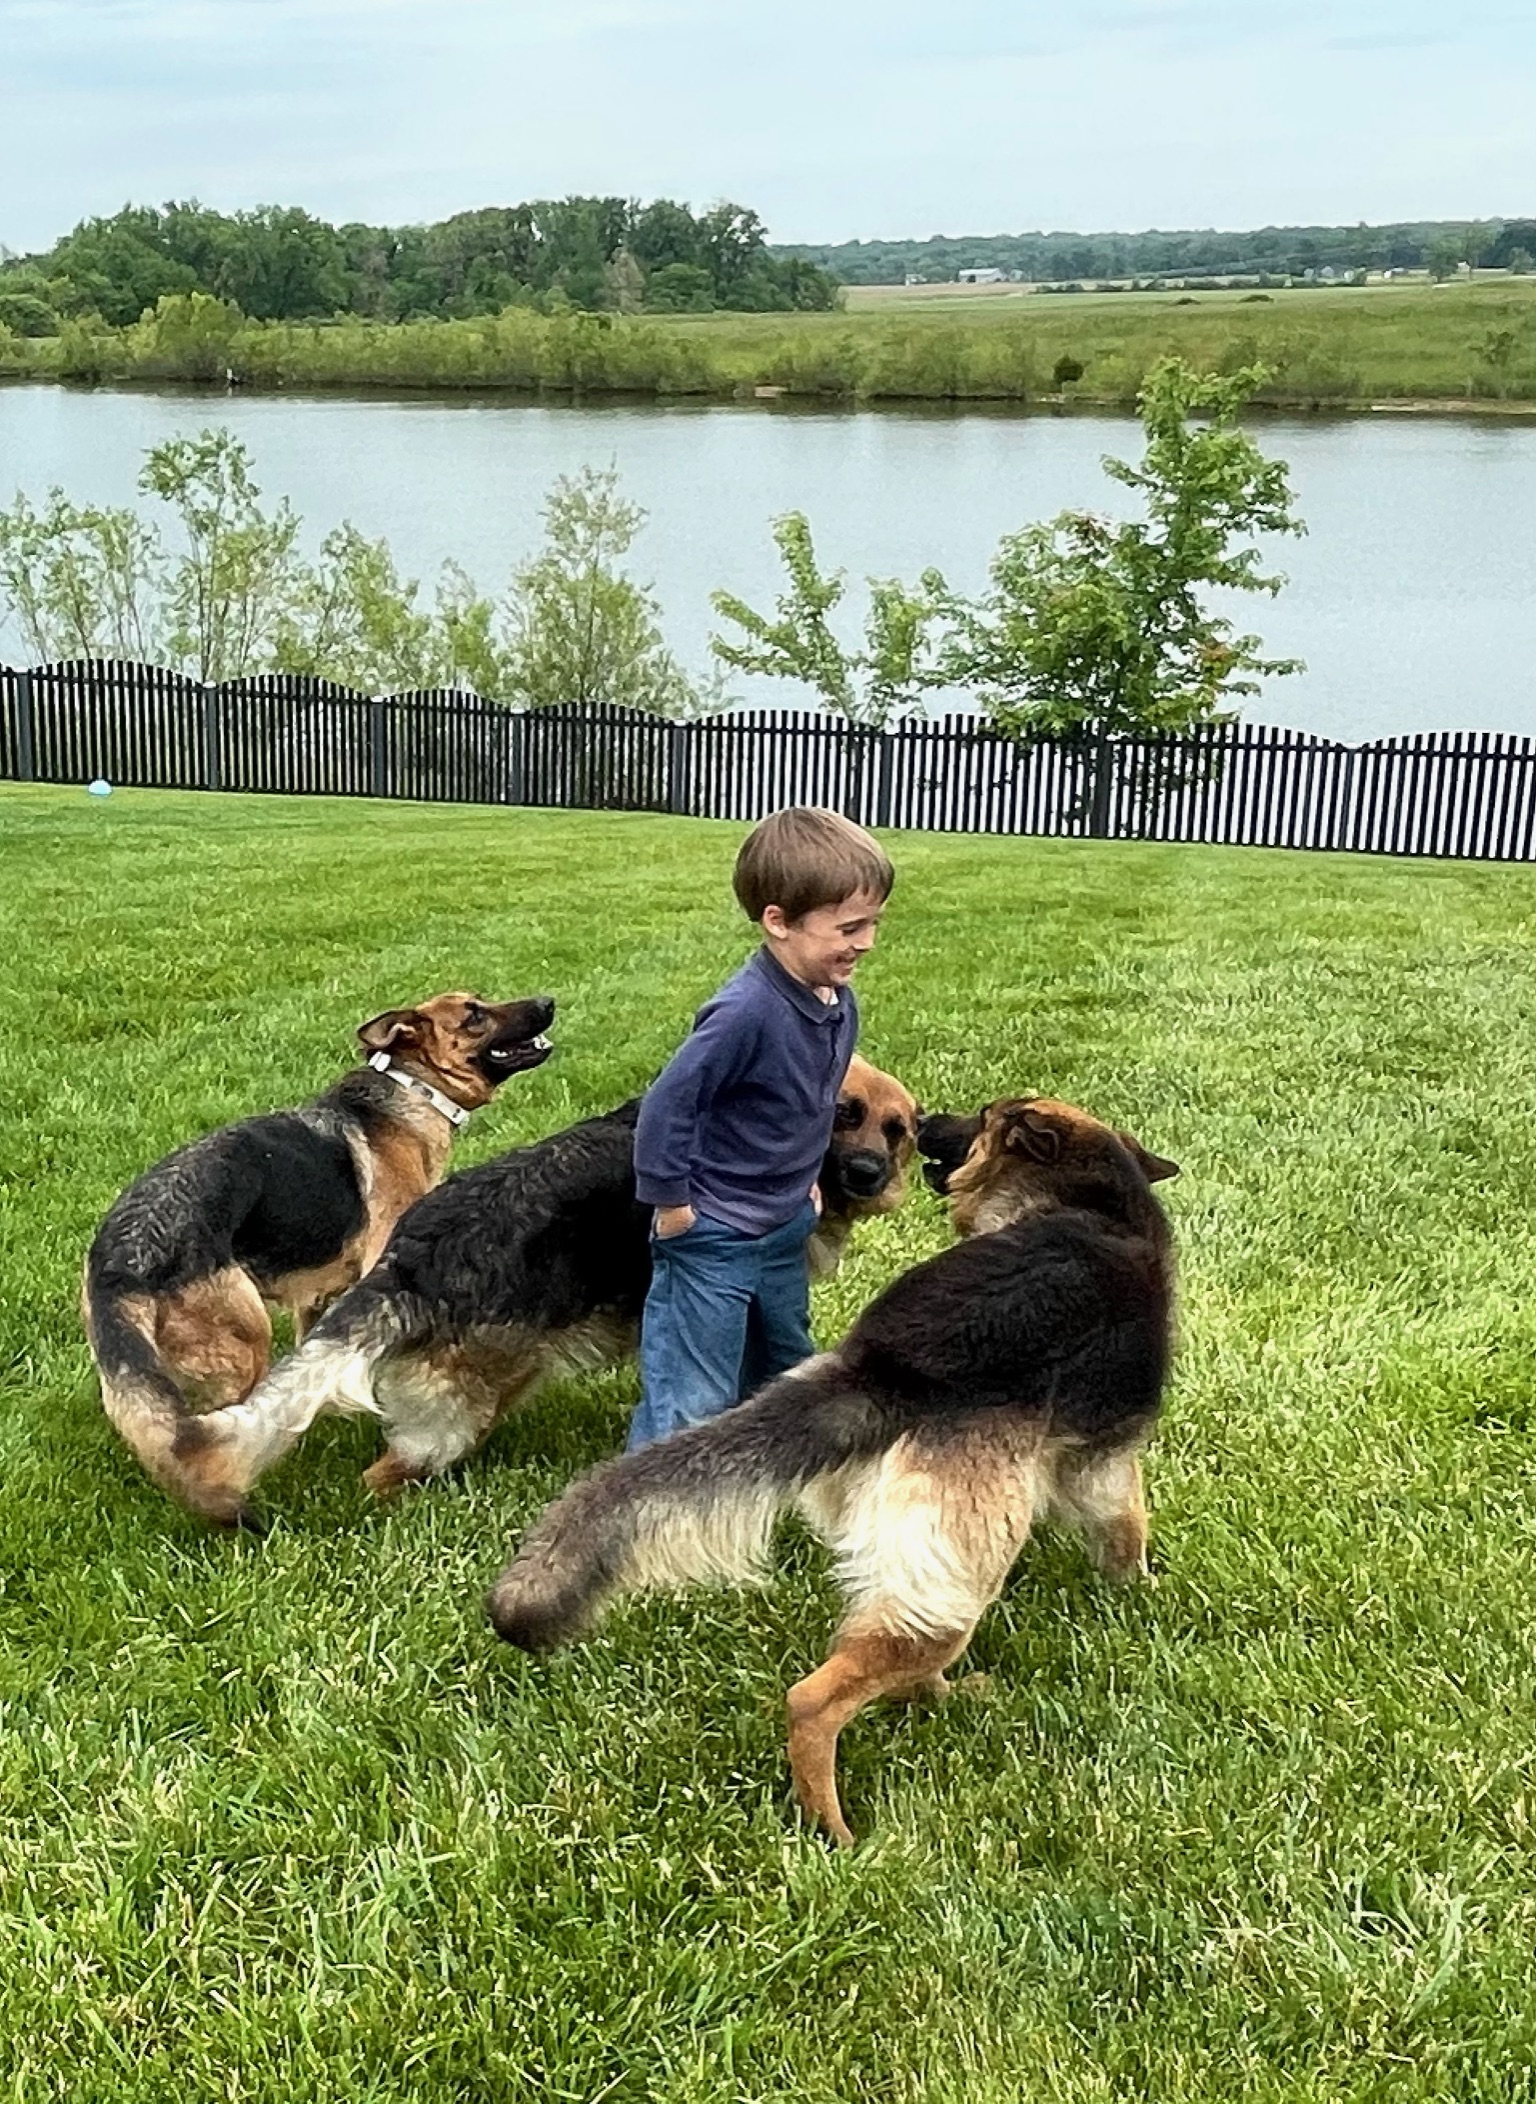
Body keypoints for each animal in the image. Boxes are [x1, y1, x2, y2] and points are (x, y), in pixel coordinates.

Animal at [82, 993, 551, 1523]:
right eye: (474, 1015)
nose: (547, 1001)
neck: (413, 1088)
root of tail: (121, 1259)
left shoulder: (319, 1299)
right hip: (247, 1334)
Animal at [187, 1052, 917, 1531]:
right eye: (845, 1115)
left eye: (898, 1130)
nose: (870, 1174)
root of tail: (411, 1262)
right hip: (475, 1403)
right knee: (392, 1471)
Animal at [483, 1094, 1178, 1851]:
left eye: (977, 1117)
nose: (924, 1120)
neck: (1089, 1197)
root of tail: (879, 1372)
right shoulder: (1106, 1460)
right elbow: (1125, 1526)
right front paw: (1139, 1590)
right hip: (954, 1580)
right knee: (819, 1698)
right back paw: (835, 1826)